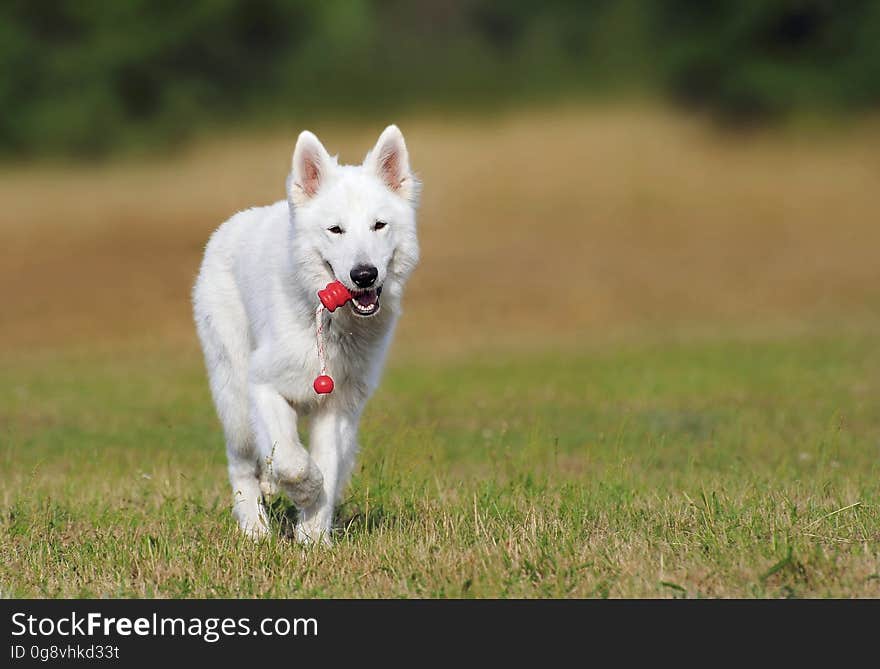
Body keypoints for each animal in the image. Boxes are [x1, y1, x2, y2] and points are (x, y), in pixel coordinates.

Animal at [194, 125, 422, 544]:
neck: (330, 322)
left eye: (379, 225)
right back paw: (254, 528)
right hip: (234, 397)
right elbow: (292, 461)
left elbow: (326, 466)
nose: (364, 275)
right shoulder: (263, 386)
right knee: (241, 463)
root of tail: (229, 226)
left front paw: (313, 536)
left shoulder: (337, 407)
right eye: (335, 230)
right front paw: (304, 492)